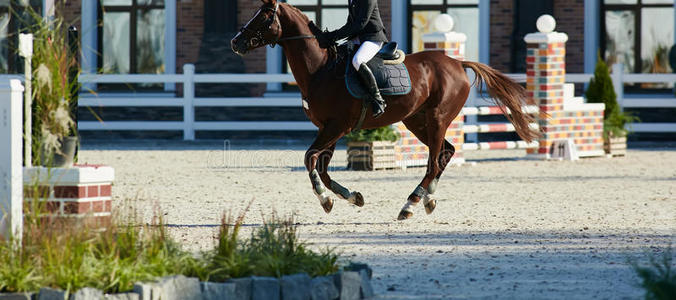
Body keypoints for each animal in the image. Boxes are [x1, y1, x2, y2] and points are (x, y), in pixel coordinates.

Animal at [232, 0, 540, 220]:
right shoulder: (327, 128)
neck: (320, 69)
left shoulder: (337, 126)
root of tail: (456, 62)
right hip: (416, 121)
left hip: (437, 118)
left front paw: (326, 199)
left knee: (434, 161)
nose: (236, 42)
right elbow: (322, 167)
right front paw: (352, 196)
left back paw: (410, 205)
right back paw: (428, 199)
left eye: (264, 15)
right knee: (446, 153)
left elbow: (310, 159)